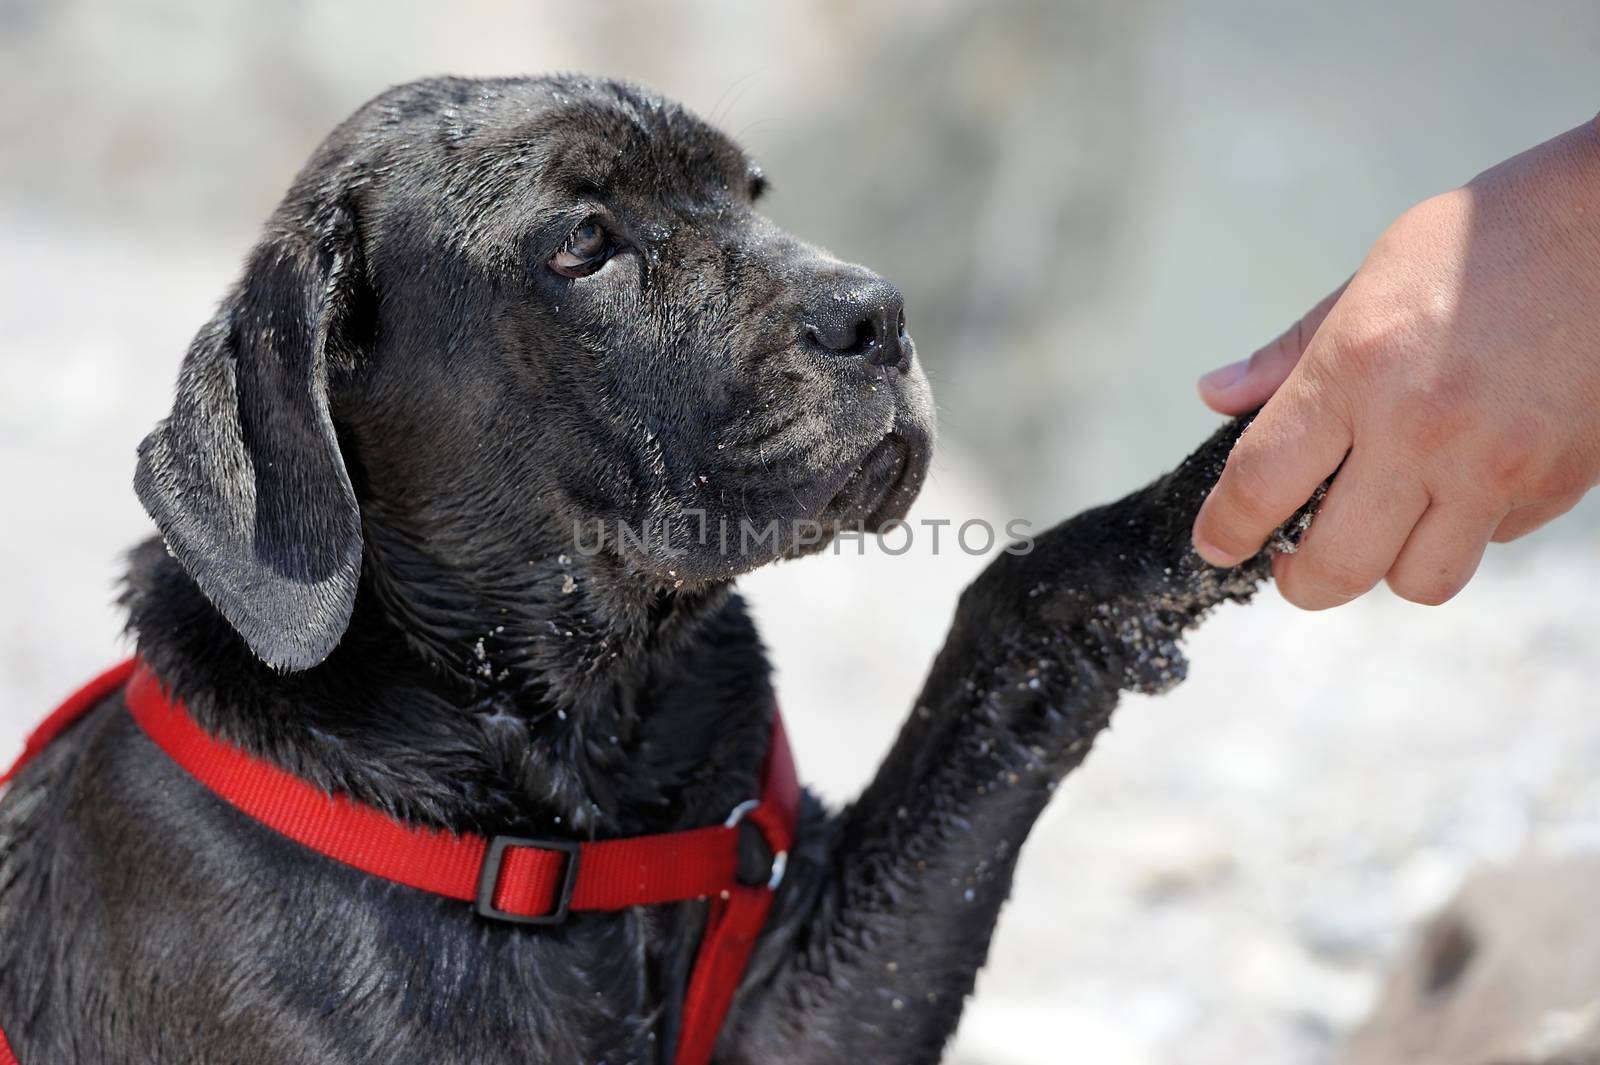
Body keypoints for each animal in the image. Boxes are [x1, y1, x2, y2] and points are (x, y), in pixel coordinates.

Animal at [0, 76, 1299, 1061]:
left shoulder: (808, 1004)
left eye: (750, 193)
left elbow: (1010, 614)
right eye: (582, 243)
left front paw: (1244, 471)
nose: (878, 313)